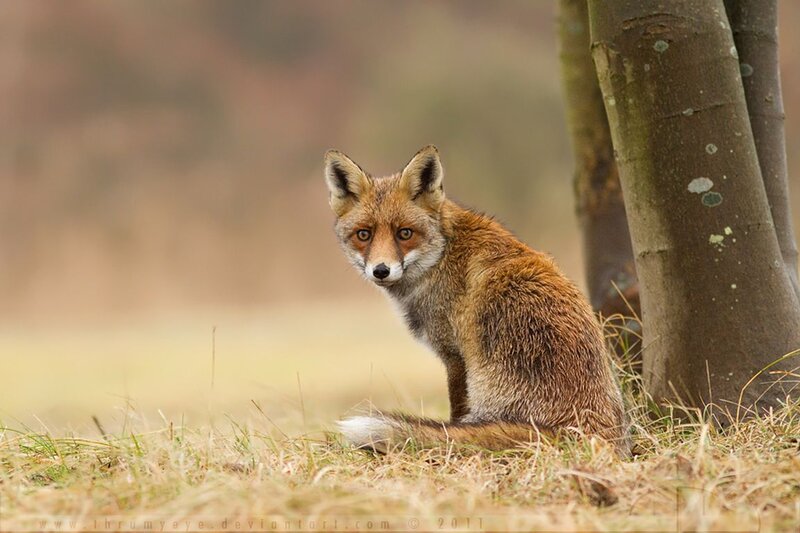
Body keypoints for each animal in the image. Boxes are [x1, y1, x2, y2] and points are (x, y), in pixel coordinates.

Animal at [324, 145, 630, 455]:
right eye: (364, 234)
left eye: (405, 233)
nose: (381, 270)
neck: (443, 255)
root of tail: (583, 429)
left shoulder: (454, 355)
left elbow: (454, 415)